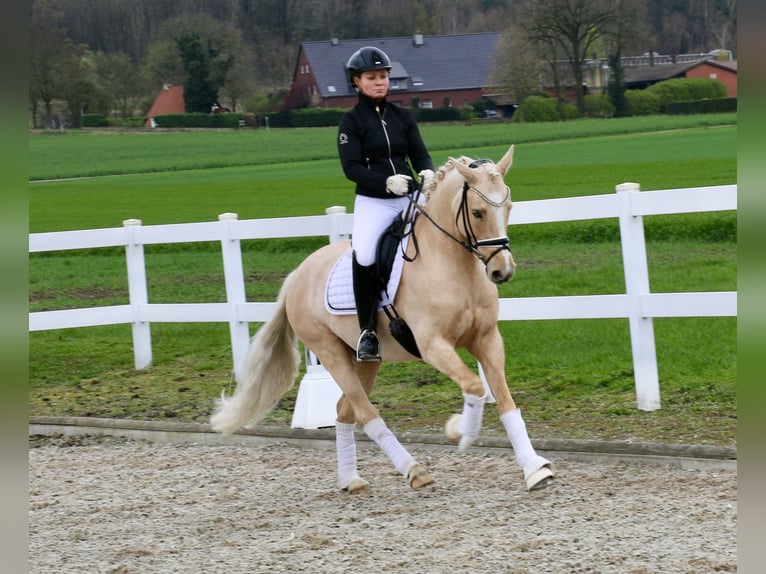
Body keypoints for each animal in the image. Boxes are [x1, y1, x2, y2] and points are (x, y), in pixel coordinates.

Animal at [213, 146, 556, 492]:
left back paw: (351, 479)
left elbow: (505, 400)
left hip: (365, 360)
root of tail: (298, 273)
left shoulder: (487, 339)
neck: (452, 266)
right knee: (365, 413)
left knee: (345, 412)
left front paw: (535, 469)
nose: (502, 271)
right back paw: (413, 470)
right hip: (329, 352)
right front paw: (459, 431)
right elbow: (475, 386)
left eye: (509, 206)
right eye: (477, 212)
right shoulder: (433, 345)